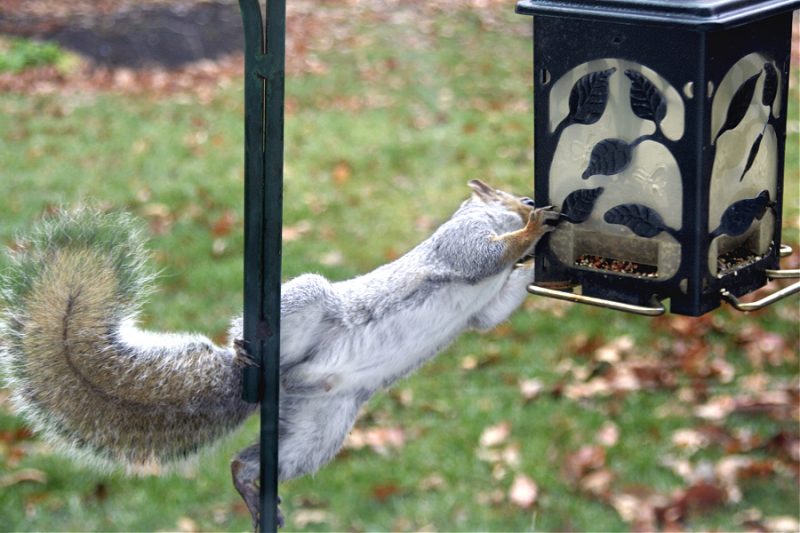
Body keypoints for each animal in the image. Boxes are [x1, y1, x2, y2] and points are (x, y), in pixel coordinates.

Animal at [0, 180, 556, 528]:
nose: (531, 197)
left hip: (318, 431)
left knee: (252, 460)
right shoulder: (457, 244)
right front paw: (532, 229)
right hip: (307, 304)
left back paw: (246, 482)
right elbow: (482, 255)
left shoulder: (485, 308)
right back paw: (244, 354)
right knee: (253, 340)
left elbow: (494, 309)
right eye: (512, 194)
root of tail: (275, 380)